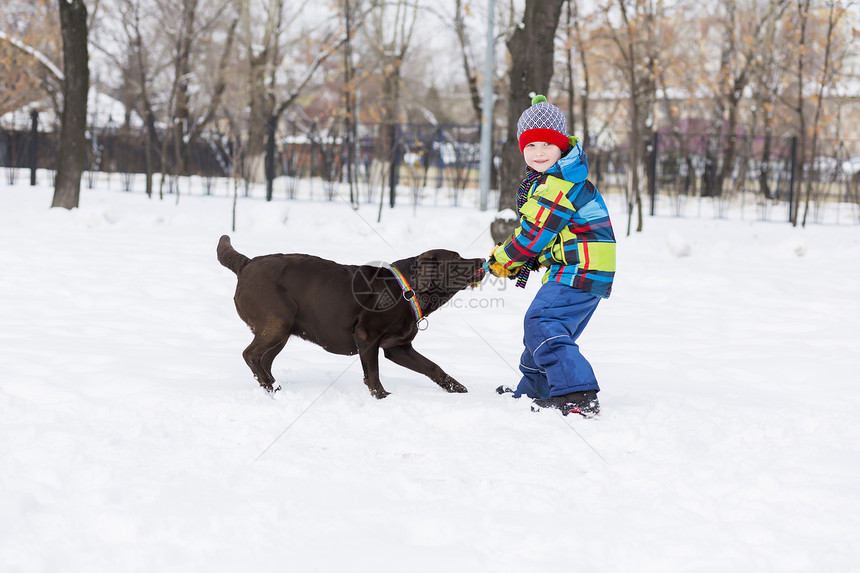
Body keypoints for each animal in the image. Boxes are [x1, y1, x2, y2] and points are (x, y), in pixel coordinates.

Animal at [217, 235, 484, 396]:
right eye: (457, 259)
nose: (482, 258)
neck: (406, 290)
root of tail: (246, 264)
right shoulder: (367, 336)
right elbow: (373, 373)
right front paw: (382, 397)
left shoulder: (398, 348)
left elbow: (432, 366)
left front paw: (456, 387)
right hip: (277, 322)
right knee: (251, 355)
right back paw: (270, 388)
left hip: (282, 330)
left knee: (265, 360)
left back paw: (274, 387)